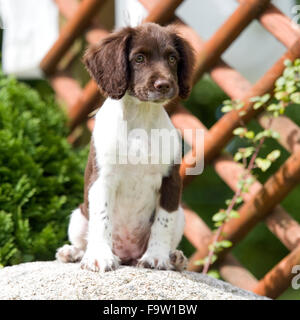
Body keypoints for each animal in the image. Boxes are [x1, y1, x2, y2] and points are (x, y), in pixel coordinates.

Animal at [56, 23, 196, 272]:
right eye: (139, 58)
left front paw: (157, 257)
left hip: (181, 215)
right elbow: (102, 218)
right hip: (78, 216)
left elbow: (163, 222)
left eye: (172, 58)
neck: (141, 116)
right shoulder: (102, 178)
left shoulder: (171, 180)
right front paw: (99, 257)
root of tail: (126, 255)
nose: (164, 85)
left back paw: (175, 258)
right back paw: (72, 253)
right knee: (84, 239)